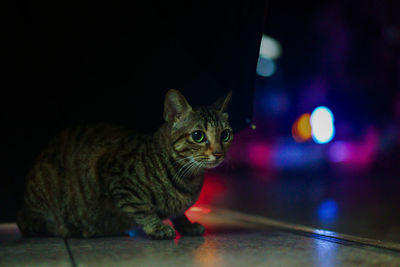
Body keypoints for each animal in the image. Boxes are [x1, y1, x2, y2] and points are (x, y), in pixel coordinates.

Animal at [16, 90, 234, 241]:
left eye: (225, 135)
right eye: (198, 135)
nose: (218, 153)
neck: (189, 176)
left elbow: (180, 213)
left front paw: (186, 226)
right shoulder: (114, 174)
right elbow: (142, 208)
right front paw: (157, 227)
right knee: (31, 226)